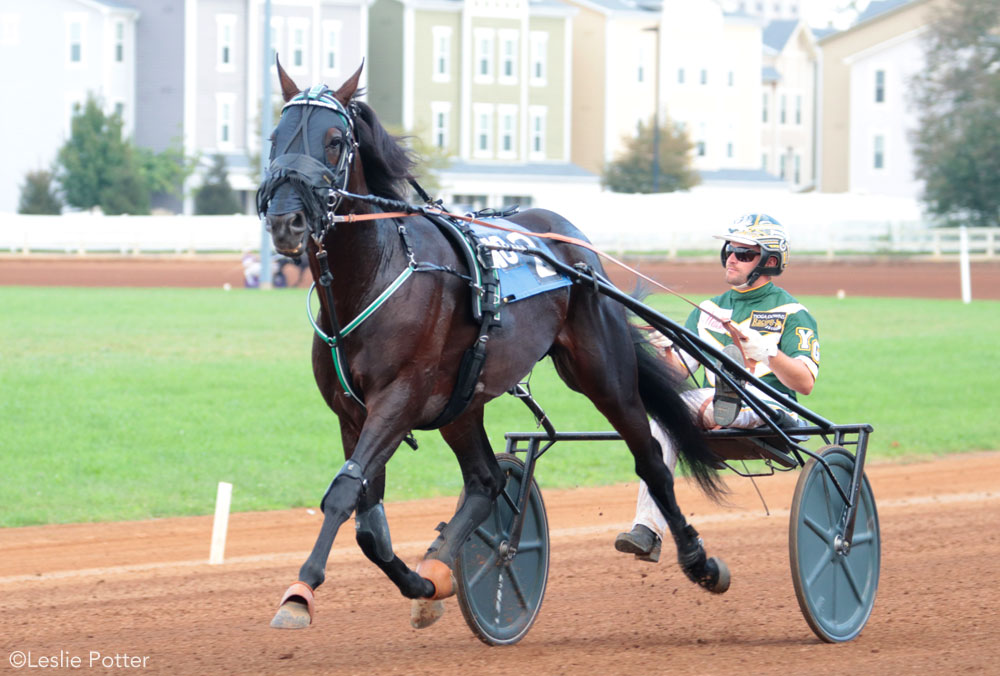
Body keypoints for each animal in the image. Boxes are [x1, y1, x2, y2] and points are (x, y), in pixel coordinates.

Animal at [258, 60, 728, 632]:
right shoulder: (351, 412)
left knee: (652, 461)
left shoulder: (399, 399)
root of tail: (571, 239)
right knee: (486, 481)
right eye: (274, 137)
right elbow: (369, 524)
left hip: (603, 374)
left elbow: (344, 494)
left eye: (333, 141)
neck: (375, 276)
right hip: (462, 403)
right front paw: (424, 585)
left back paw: (698, 560)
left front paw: (300, 592)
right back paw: (442, 568)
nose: (286, 221)